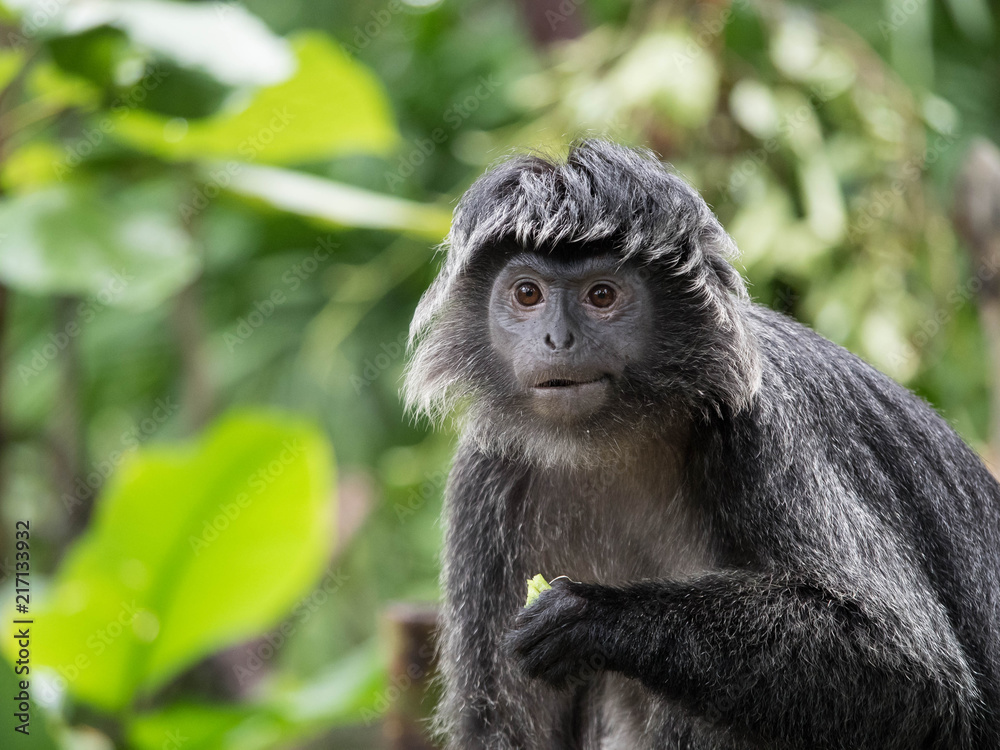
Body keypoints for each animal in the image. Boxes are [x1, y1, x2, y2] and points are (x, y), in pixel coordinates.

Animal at [403, 140, 1000, 749]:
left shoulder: (765, 425)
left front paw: (593, 615)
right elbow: (503, 728)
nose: (557, 339)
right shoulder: (486, 474)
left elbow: (913, 676)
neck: (614, 442)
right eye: (527, 293)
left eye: (602, 295)